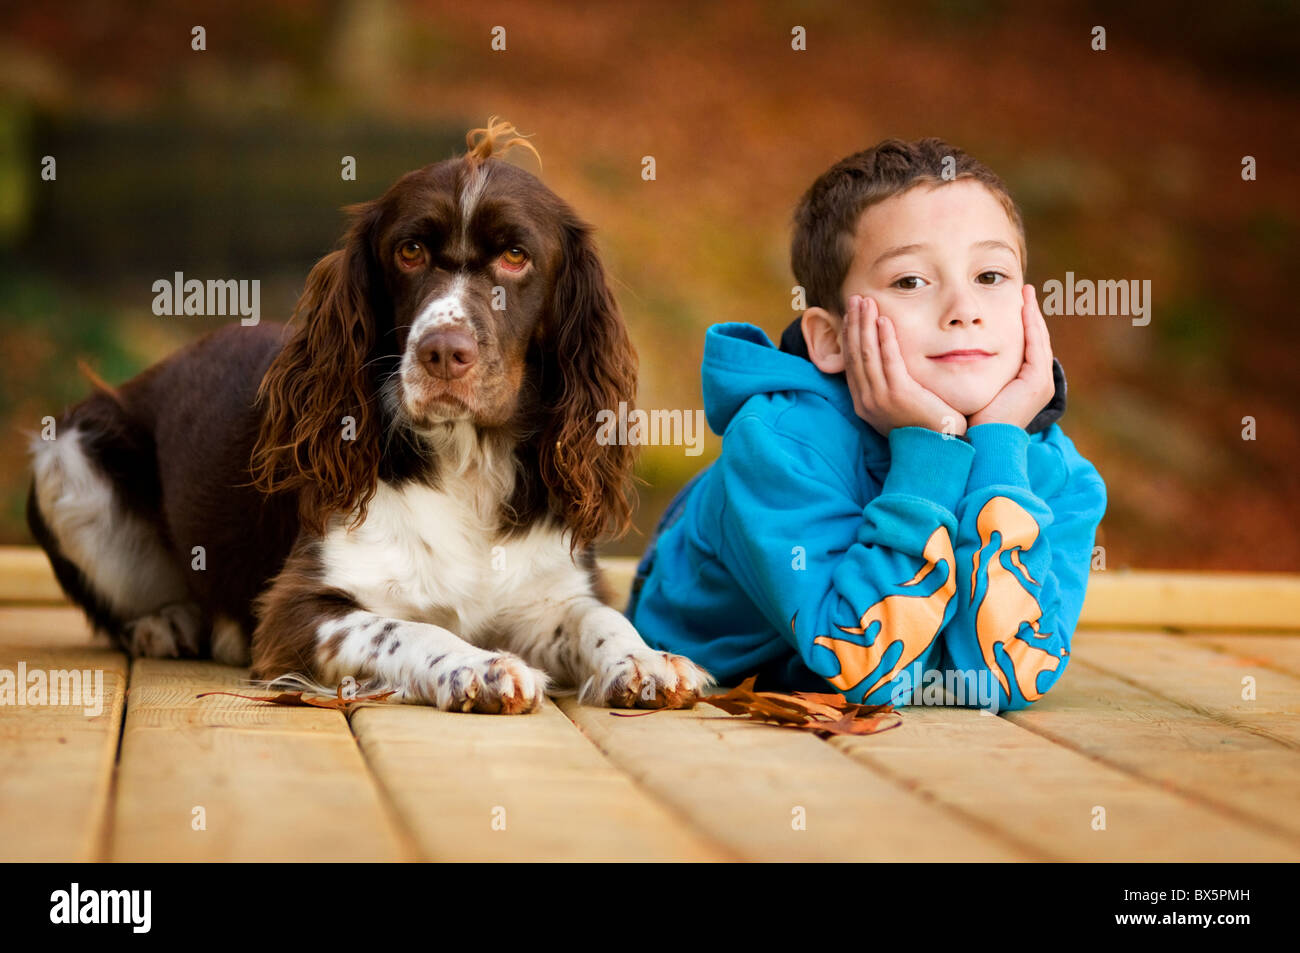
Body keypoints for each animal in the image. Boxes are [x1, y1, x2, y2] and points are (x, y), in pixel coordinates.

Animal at [25, 117, 712, 712]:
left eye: (517, 256)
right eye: (408, 251)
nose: (443, 352)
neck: (466, 463)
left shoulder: (549, 590)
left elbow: (599, 614)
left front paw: (647, 661)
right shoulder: (296, 611)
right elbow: (409, 629)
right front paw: (480, 667)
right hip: (69, 454)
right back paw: (167, 623)